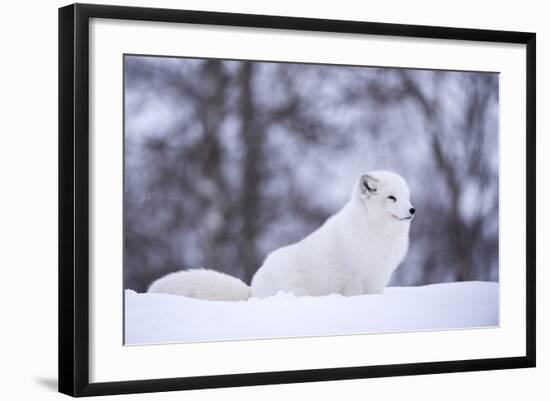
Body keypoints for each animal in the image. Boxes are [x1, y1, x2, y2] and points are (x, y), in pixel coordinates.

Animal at [149, 171, 416, 300]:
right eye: (391, 198)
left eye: (406, 196)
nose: (413, 210)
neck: (377, 232)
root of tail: (252, 291)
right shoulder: (354, 278)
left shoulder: (379, 277)